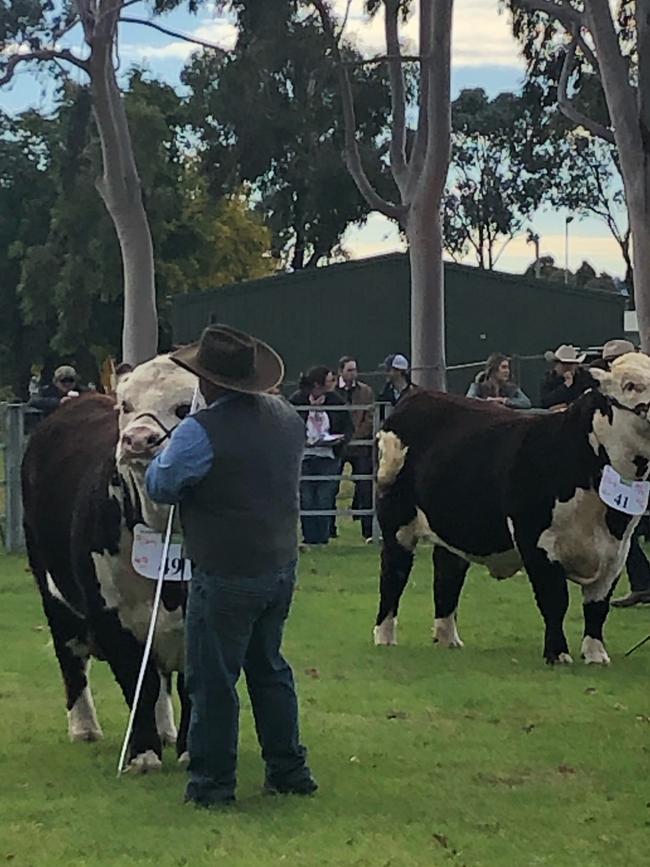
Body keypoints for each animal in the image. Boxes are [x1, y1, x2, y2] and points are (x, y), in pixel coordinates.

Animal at [22, 354, 200, 772]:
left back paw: (166, 731)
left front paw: (189, 750)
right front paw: (143, 756)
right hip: (52, 590)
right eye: (127, 406)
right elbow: (138, 683)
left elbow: (189, 687)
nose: (137, 439)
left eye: (184, 407)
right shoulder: (109, 613)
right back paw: (85, 727)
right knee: (71, 658)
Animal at [372, 352, 648, 664]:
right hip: (397, 524)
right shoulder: (535, 541)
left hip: (453, 527)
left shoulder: (616, 550)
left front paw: (595, 655)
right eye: (630, 385)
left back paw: (448, 638)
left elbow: (597, 608)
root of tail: (418, 396)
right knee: (393, 574)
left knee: (447, 574)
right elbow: (555, 600)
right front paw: (557, 654)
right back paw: (385, 637)